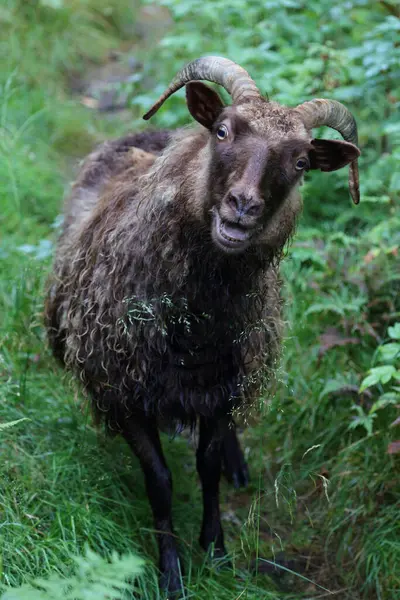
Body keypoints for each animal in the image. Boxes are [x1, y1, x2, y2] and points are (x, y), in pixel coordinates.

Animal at [45, 57, 360, 596]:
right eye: (222, 131)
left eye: (301, 162)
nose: (243, 206)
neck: (192, 325)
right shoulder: (124, 391)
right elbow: (160, 480)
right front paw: (170, 572)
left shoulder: (221, 387)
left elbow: (207, 466)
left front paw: (216, 552)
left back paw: (239, 465)